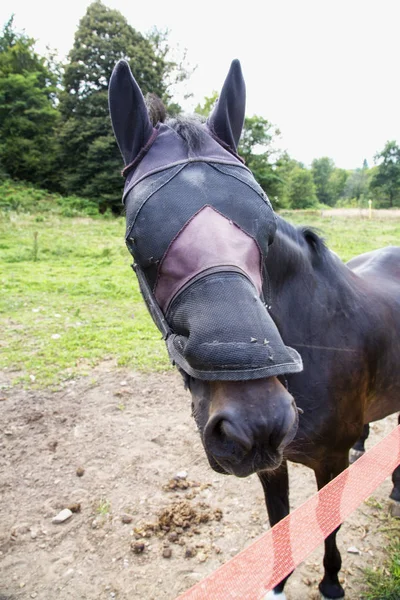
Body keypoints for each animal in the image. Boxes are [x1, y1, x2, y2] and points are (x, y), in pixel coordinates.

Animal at [108, 57, 400, 600]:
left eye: (265, 232)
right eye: (136, 241)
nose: (256, 421)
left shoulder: (328, 465)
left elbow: (327, 524)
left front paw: (331, 581)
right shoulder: (275, 462)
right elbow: (278, 522)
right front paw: (278, 584)